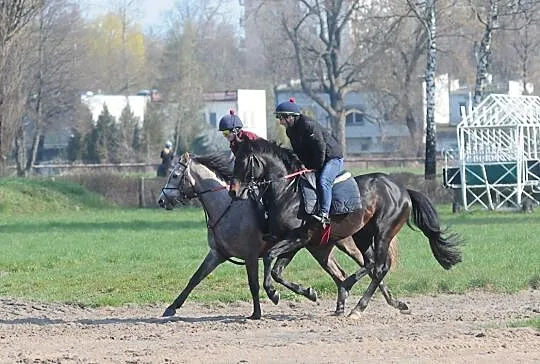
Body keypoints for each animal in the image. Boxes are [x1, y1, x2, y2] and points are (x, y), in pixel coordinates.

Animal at [156, 151, 396, 318]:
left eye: (175, 175)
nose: (161, 200)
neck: (228, 207)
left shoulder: (251, 255)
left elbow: (254, 284)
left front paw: (257, 311)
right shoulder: (217, 254)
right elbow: (195, 278)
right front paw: (172, 307)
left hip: (347, 242)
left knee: (372, 265)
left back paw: (391, 301)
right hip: (320, 248)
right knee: (341, 273)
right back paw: (343, 303)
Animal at [230, 139, 462, 318]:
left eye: (242, 161)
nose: (233, 191)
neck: (288, 193)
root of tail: (403, 189)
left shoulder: (298, 238)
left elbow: (270, 257)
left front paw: (273, 293)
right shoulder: (295, 242)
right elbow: (277, 271)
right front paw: (307, 292)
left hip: (383, 232)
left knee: (379, 267)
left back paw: (357, 306)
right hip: (362, 235)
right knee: (371, 264)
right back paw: (351, 292)